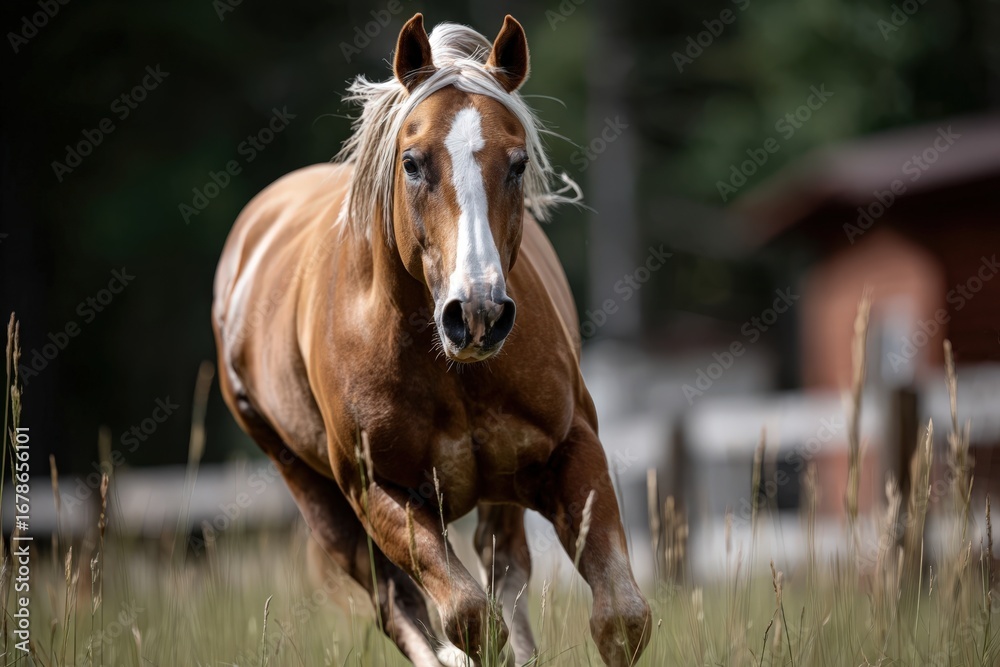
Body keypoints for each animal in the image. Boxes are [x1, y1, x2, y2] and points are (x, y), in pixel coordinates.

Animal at [212, 14, 650, 666]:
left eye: (518, 163)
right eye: (413, 162)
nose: (478, 313)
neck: (448, 370)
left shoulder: (572, 449)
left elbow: (620, 617)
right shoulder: (379, 494)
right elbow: (469, 618)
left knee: (506, 569)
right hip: (317, 498)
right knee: (401, 608)